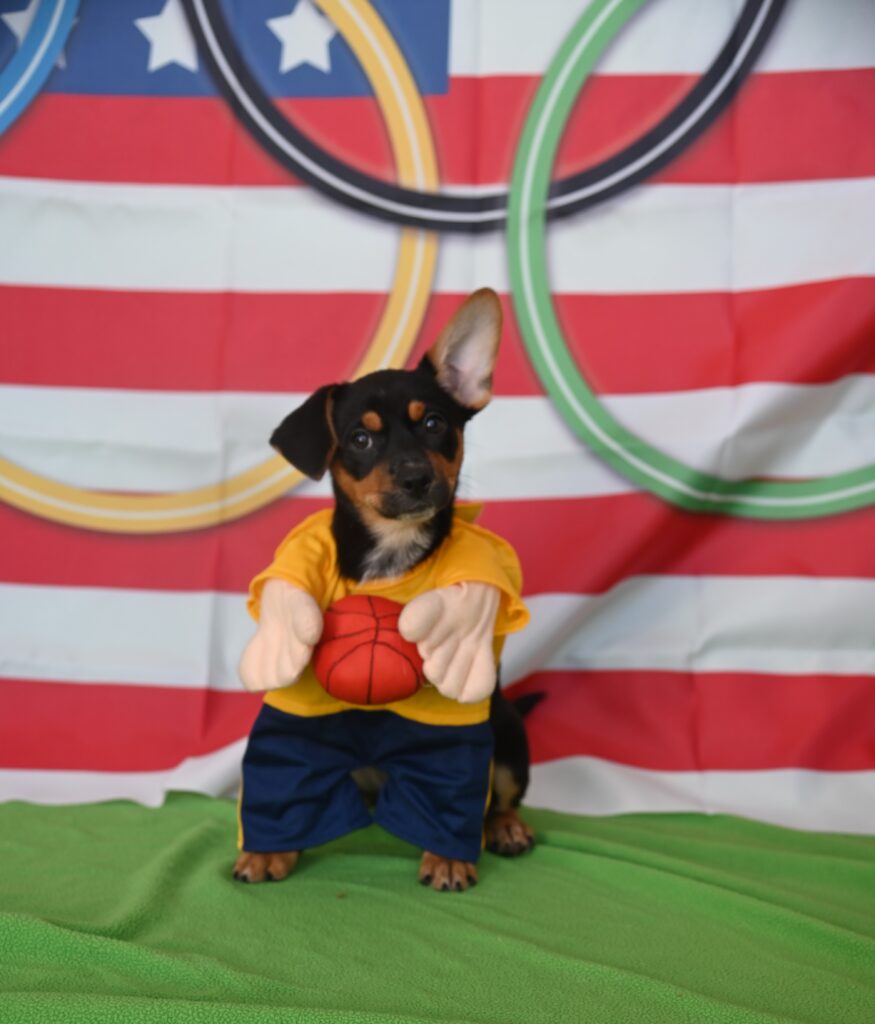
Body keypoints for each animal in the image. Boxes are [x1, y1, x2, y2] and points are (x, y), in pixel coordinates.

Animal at [239, 288, 536, 888]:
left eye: (435, 424)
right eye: (360, 438)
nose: (417, 478)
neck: (391, 552)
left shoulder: (455, 725)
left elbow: (457, 788)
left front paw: (448, 858)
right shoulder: (296, 712)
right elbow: (282, 776)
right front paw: (266, 851)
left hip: (510, 731)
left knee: (502, 794)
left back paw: (506, 829)